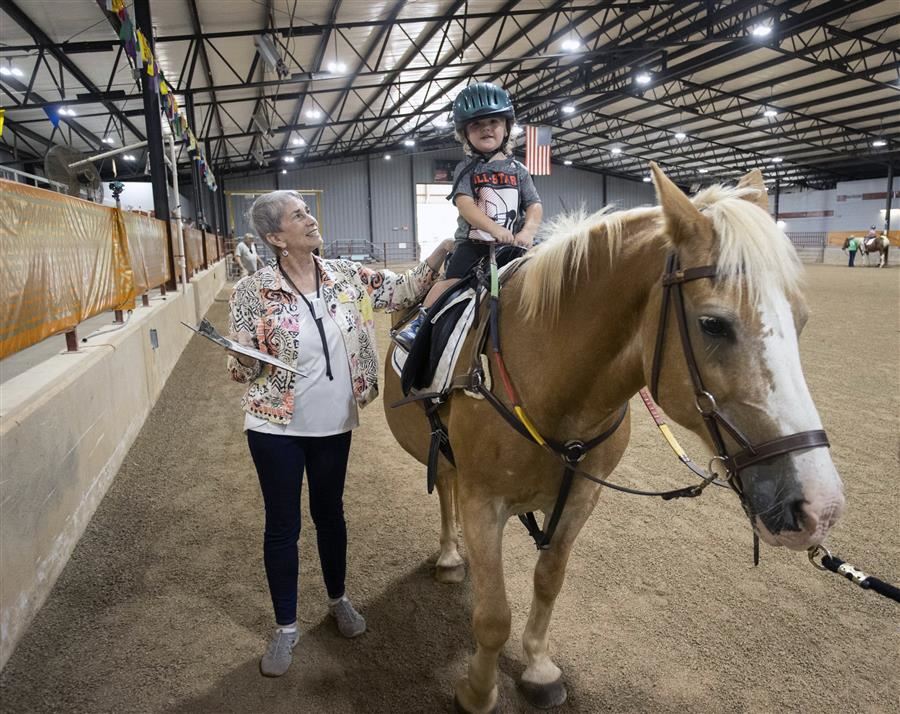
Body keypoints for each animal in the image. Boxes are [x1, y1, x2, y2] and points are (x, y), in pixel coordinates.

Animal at [382, 163, 844, 712]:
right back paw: (452, 556)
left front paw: (537, 667)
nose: (819, 506)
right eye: (713, 324)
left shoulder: (582, 497)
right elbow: (493, 616)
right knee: (446, 492)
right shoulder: (483, 502)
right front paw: (478, 691)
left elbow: (549, 582)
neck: (551, 385)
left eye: (802, 319)